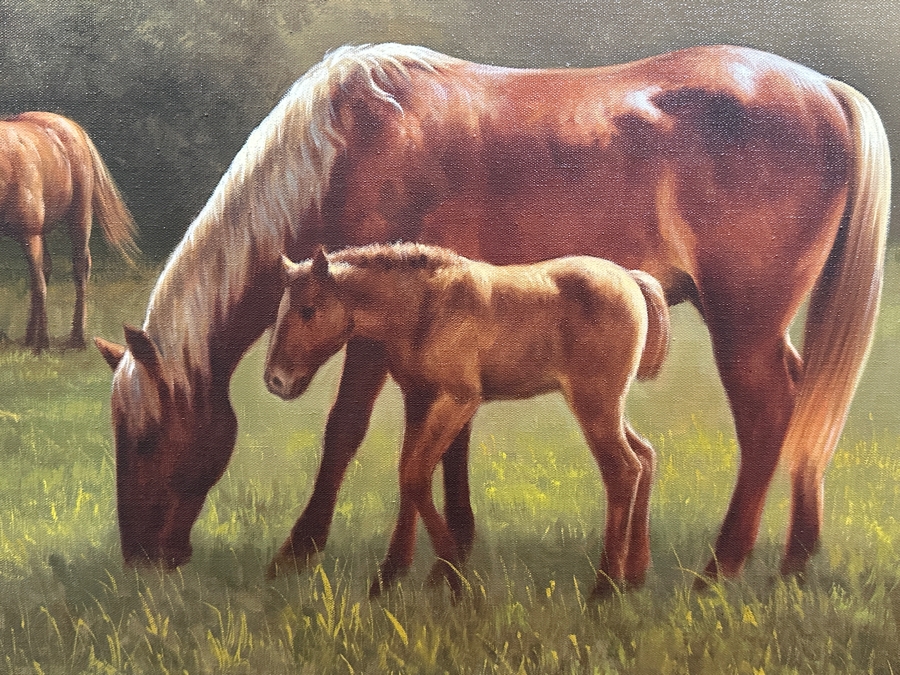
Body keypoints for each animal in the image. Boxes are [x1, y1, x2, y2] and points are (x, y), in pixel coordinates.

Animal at [0, 112, 138, 350]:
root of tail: (71, 126)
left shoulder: (30, 234)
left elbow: (39, 286)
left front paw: (42, 344)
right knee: (45, 270)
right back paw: (30, 339)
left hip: (78, 218)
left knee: (78, 267)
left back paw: (75, 339)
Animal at [263, 243, 670, 597]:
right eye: (279, 310)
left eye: (308, 310)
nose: (275, 380)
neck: (427, 306)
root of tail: (630, 278)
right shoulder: (419, 399)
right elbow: (408, 473)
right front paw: (391, 578)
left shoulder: (459, 400)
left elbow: (415, 474)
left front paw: (455, 580)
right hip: (606, 408)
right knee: (646, 456)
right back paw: (635, 575)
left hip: (595, 405)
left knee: (622, 469)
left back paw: (604, 589)